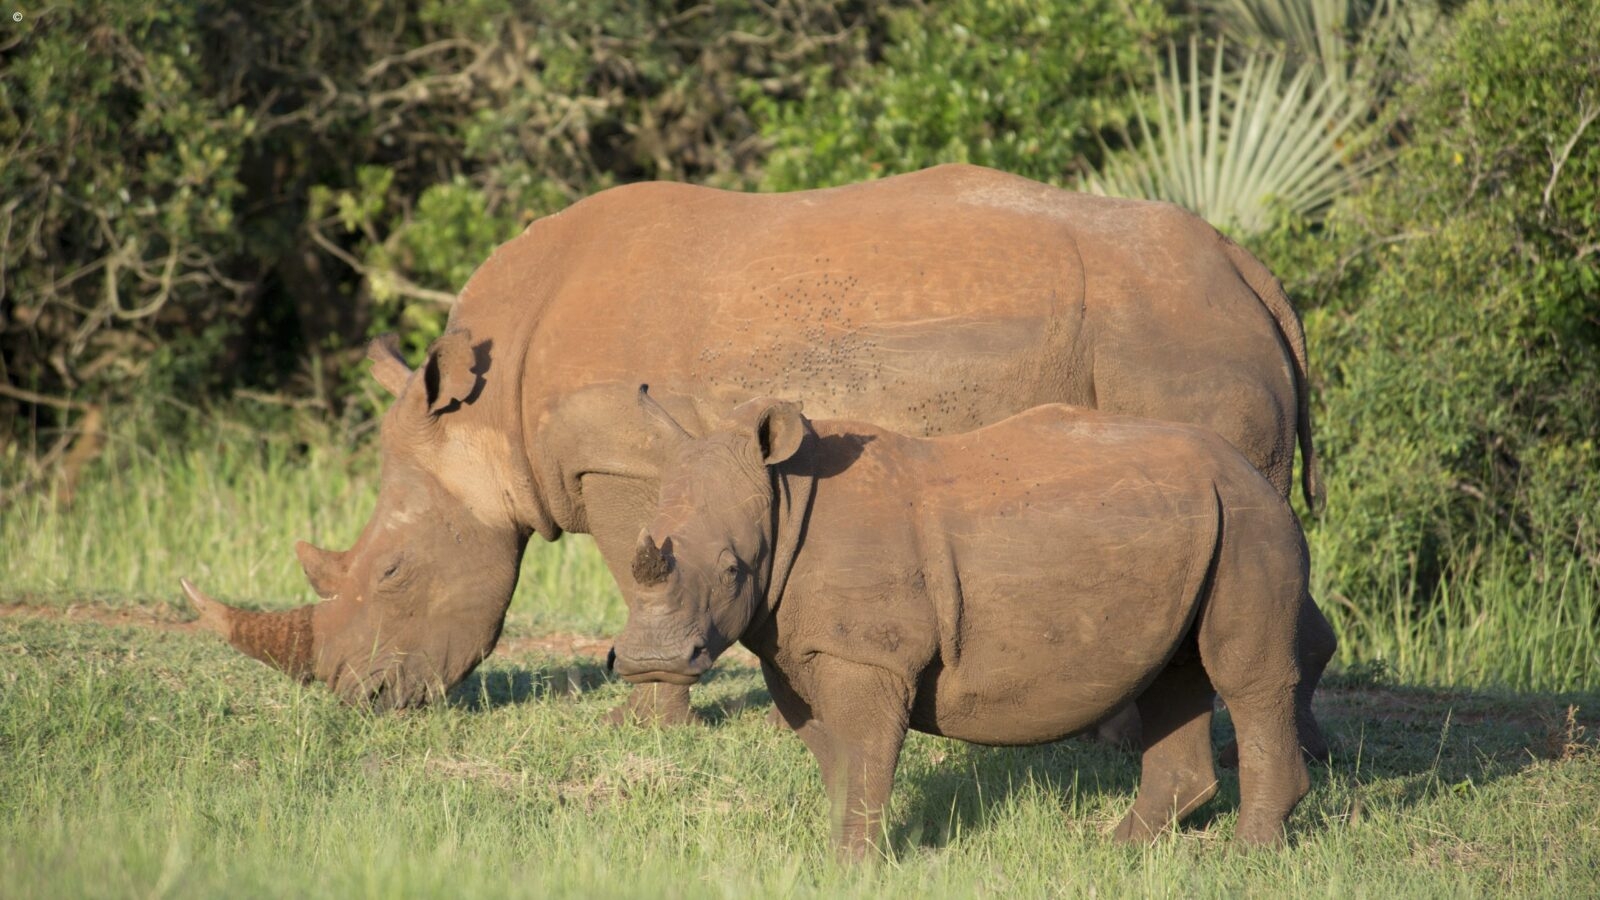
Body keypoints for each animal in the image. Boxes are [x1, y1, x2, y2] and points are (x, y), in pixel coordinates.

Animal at [180, 164, 1331, 755]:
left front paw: (644, 726)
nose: (357, 702)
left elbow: (636, 573)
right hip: (1178, 336)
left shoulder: (627, 469)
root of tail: (1252, 272)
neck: (488, 415)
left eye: (390, 573)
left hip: (1166, 345)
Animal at [609, 390, 1315, 857]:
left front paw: (851, 868)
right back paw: (1116, 849)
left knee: (1244, 677)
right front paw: (839, 856)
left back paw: (1247, 854)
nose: (648, 661)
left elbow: (863, 755)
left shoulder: (868, 655)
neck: (782, 497)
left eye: (733, 570)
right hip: (1195, 521)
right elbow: (836, 759)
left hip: (1249, 516)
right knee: (1174, 669)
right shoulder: (797, 648)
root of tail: (1251, 469)